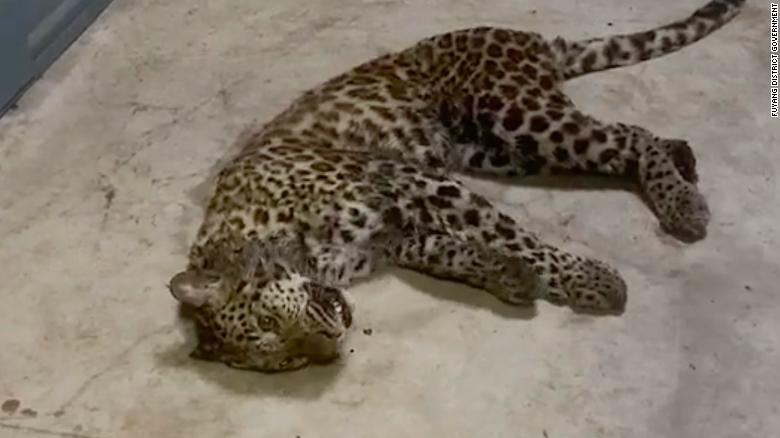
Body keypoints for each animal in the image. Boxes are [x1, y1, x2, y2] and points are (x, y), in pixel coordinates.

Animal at [168, 0, 745, 372]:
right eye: (286, 359)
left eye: (270, 320)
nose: (331, 342)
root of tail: (527, 38)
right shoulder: (397, 236)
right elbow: (457, 253)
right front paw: (511, 277)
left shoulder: (408, 181)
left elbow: (514, 237)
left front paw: (587, 280)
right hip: (497, 150)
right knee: (626, 137)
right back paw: (682, 161)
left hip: (518, 116)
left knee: (626, 137)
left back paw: (684, 205)